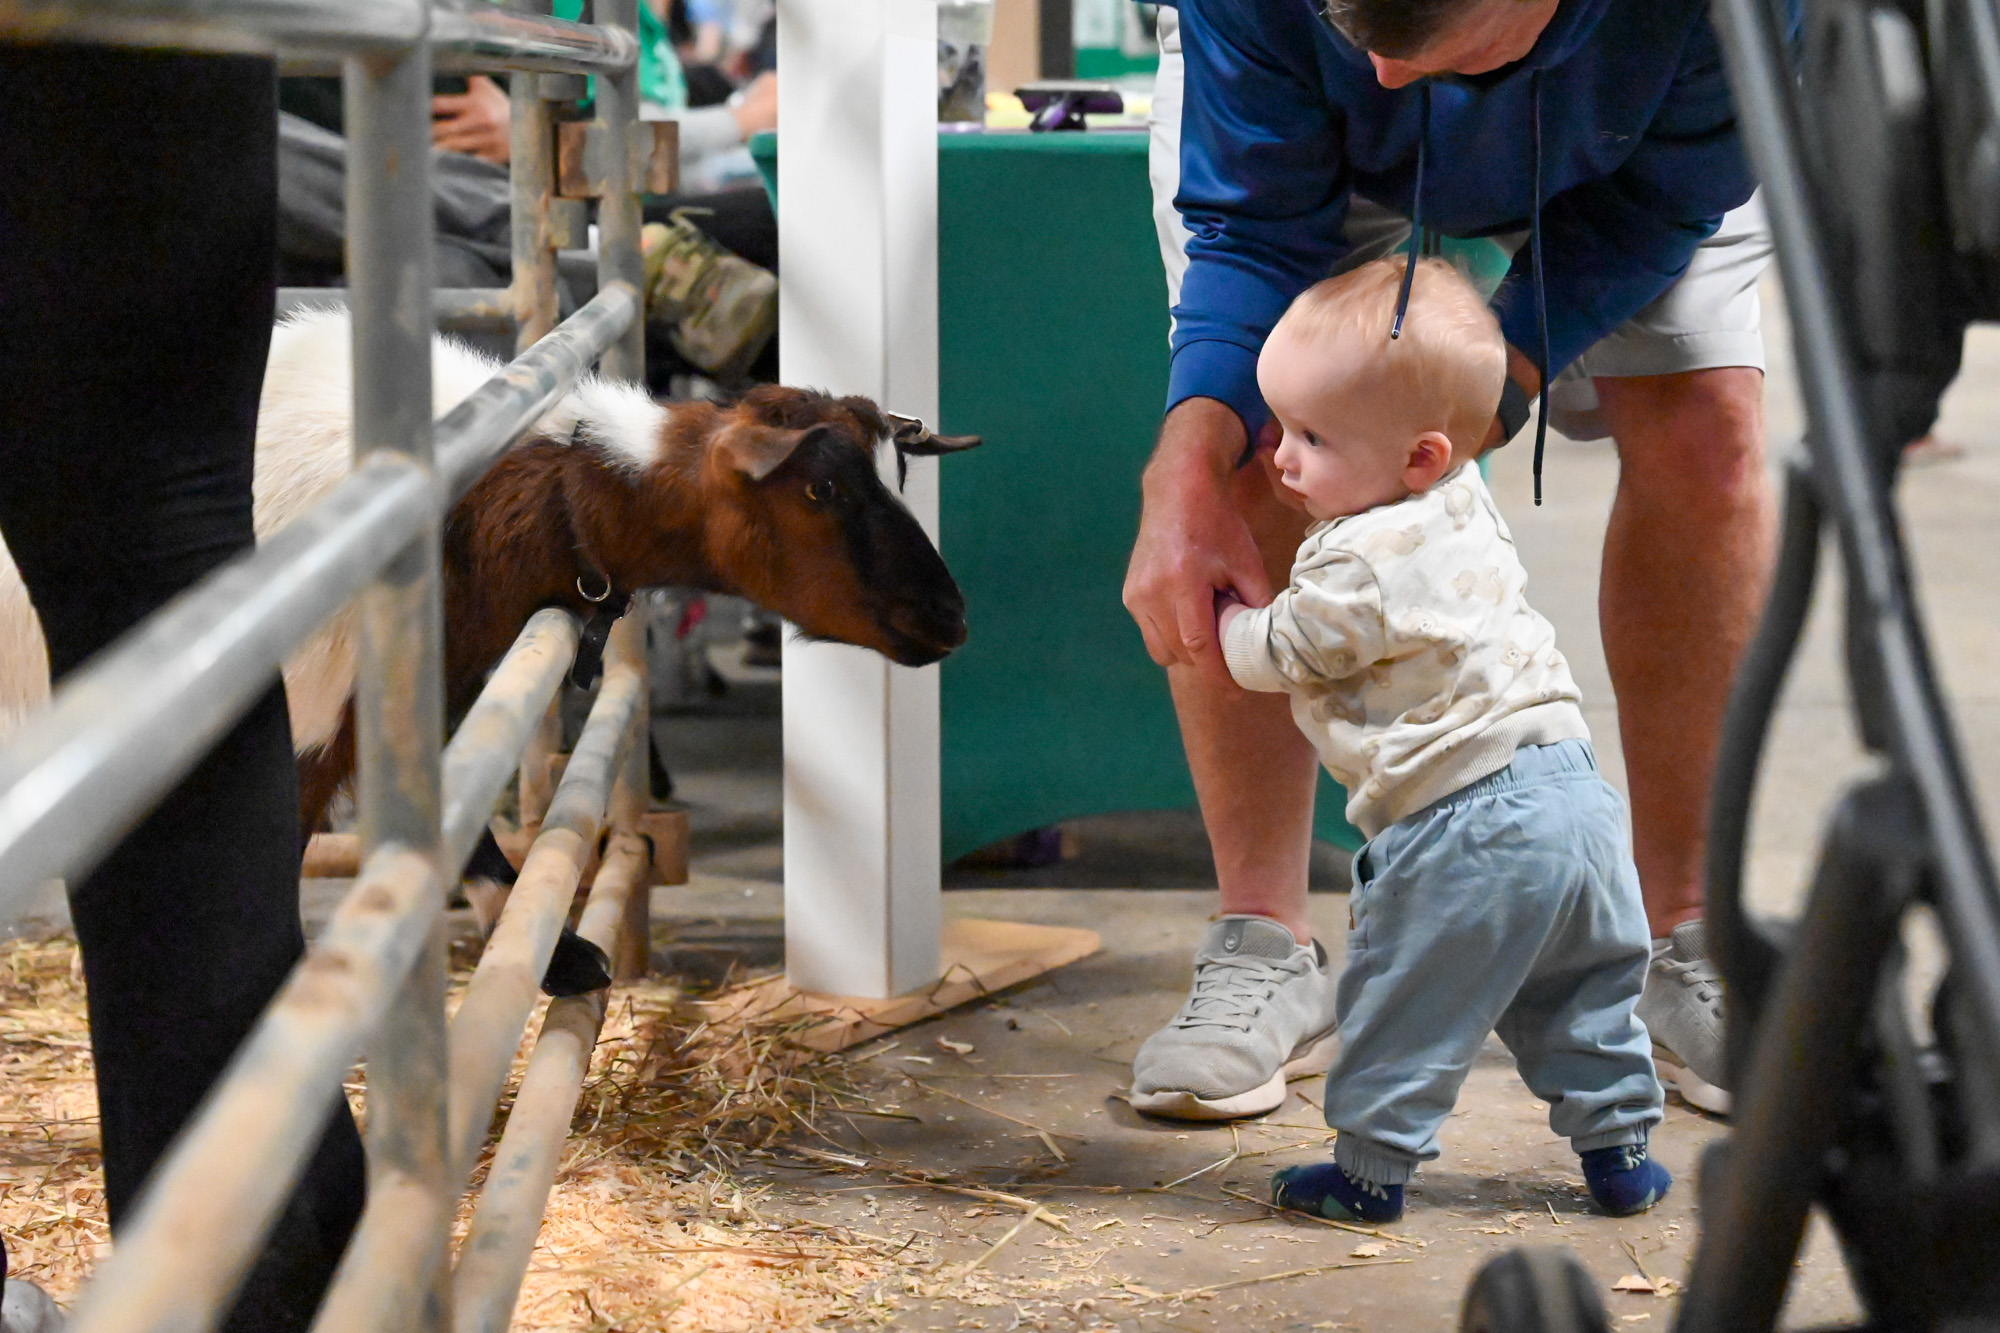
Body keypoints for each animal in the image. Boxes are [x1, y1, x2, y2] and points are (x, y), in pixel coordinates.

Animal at [0, 309, 979, 991]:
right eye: (819, 490)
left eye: (896, 475)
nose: (950, 616)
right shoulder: (302, 730)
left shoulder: (410, 704)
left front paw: (562, 955)